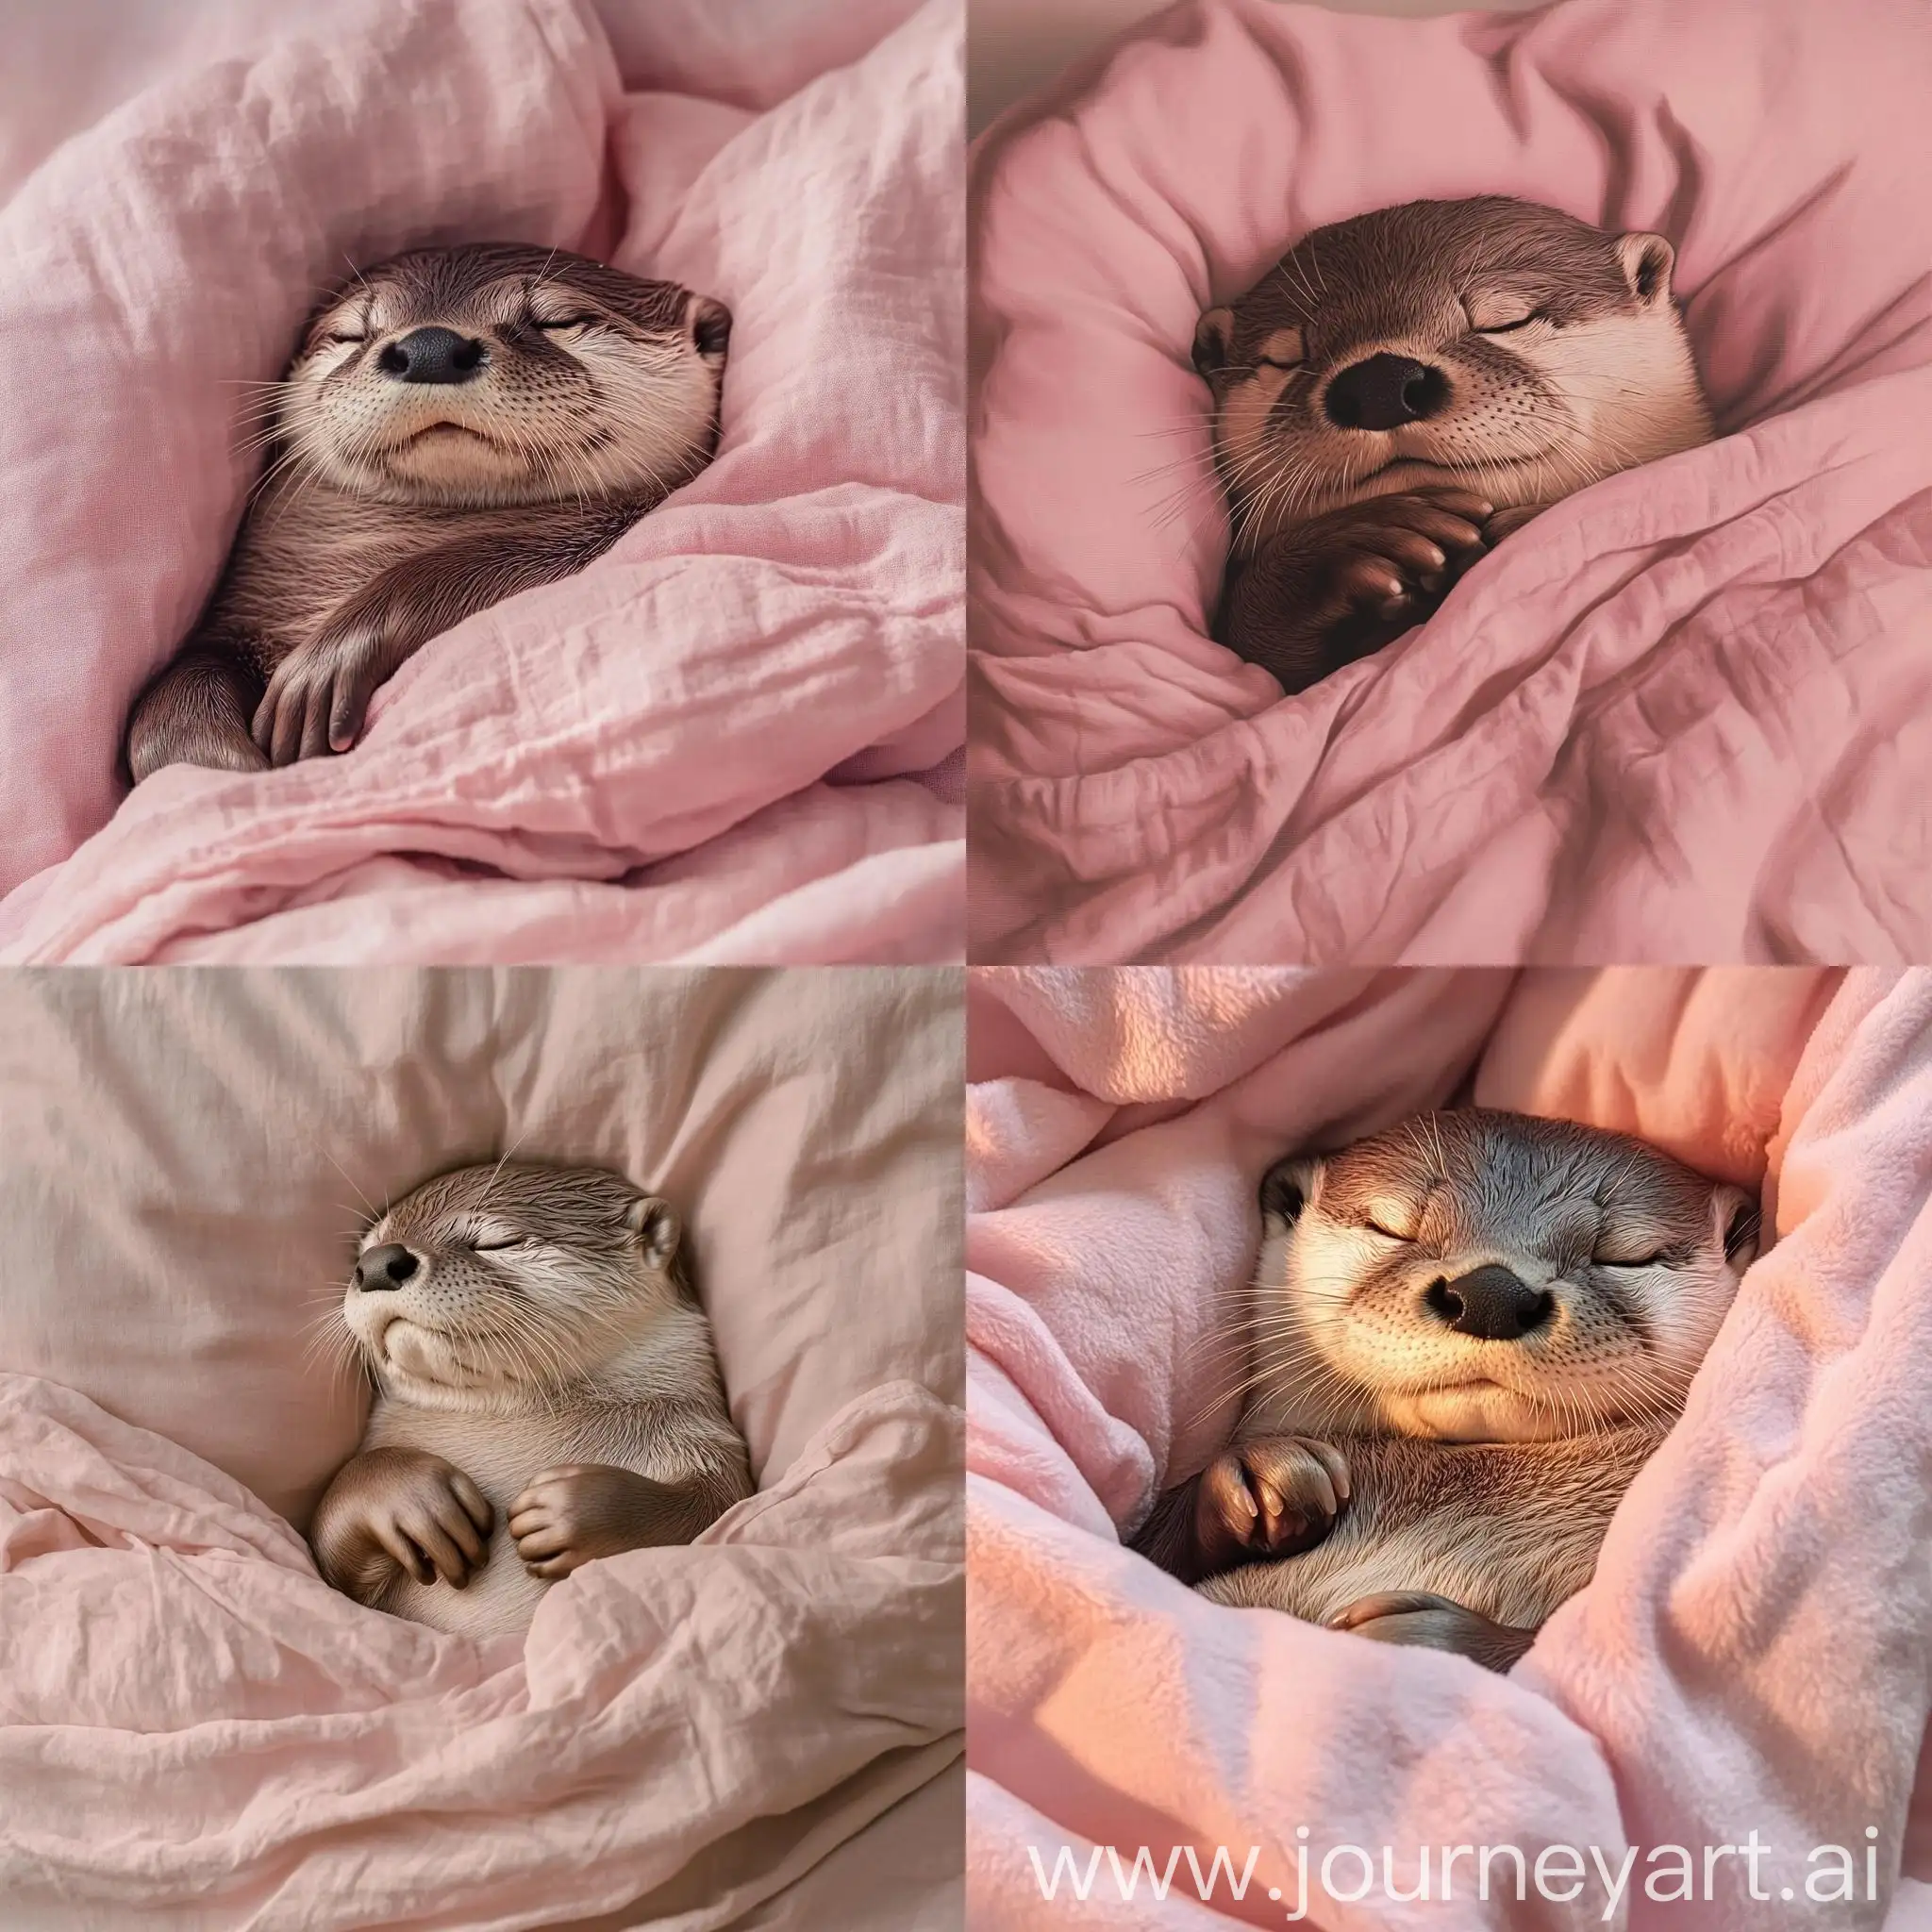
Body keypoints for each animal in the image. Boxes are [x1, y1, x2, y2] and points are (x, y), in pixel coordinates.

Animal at [126, 245, 730, 780]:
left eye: (559, 320)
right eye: (351, 333)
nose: (431, 346)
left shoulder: (610, 533)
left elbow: (460, 570)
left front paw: (325, 665)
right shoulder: (244, 610)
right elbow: (175, 690)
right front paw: (213, 766)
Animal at [305, 1151, 749, 1638]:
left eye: (498, 1242)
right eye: (366, 1250)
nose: (379, 1263)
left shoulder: (709, 1442)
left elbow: (715, 1509)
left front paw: (568, 1512)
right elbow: (328, 1551)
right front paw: (408, 1495)